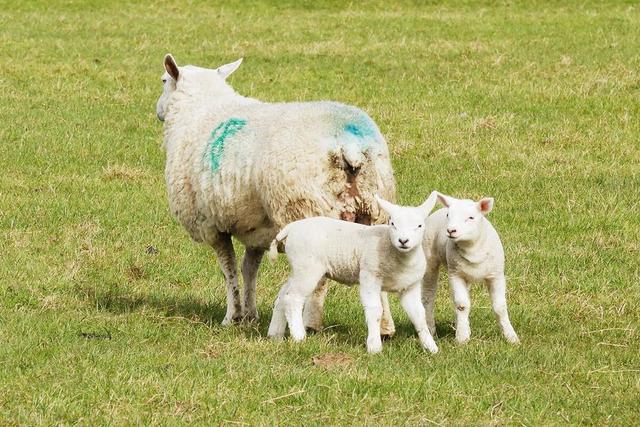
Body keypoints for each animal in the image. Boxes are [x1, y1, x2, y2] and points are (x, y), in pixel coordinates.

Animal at [156, 54, 398, 332]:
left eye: (163, 80)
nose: (158, 111)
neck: (199, 110)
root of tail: (351, 147)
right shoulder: (257, 229)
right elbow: (249, 268)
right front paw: (250, 315)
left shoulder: (211, 224)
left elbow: (229, 270)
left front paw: (231, 317)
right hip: (375, 209)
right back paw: (385, 328)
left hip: (307, 209)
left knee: (319, 278)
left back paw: (311, 323)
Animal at [266, 194, 440, 354]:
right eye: (393, 224)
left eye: (419, 225)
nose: (403, 241)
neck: (398, 255)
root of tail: (290, 228)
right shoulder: (369, 276)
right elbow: (375, 310)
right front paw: (374, 347)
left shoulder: (410, 286)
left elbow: (419, 315)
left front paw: (431, 347)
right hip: (307, 267)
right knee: (293, 298)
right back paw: (299, 337)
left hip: (299, 267)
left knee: (282, 295)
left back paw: (275, 335)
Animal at [422, 194, 524, 344]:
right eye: (448, 215)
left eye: (471, 217)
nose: (451, 231)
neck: (473, 250)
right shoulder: (455, 274)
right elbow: (462, 305)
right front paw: (462, 338)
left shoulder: (496, 275)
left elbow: (500, 307)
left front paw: (511, 337)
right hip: (430, 259)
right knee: (429, 295)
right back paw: (431, 330)